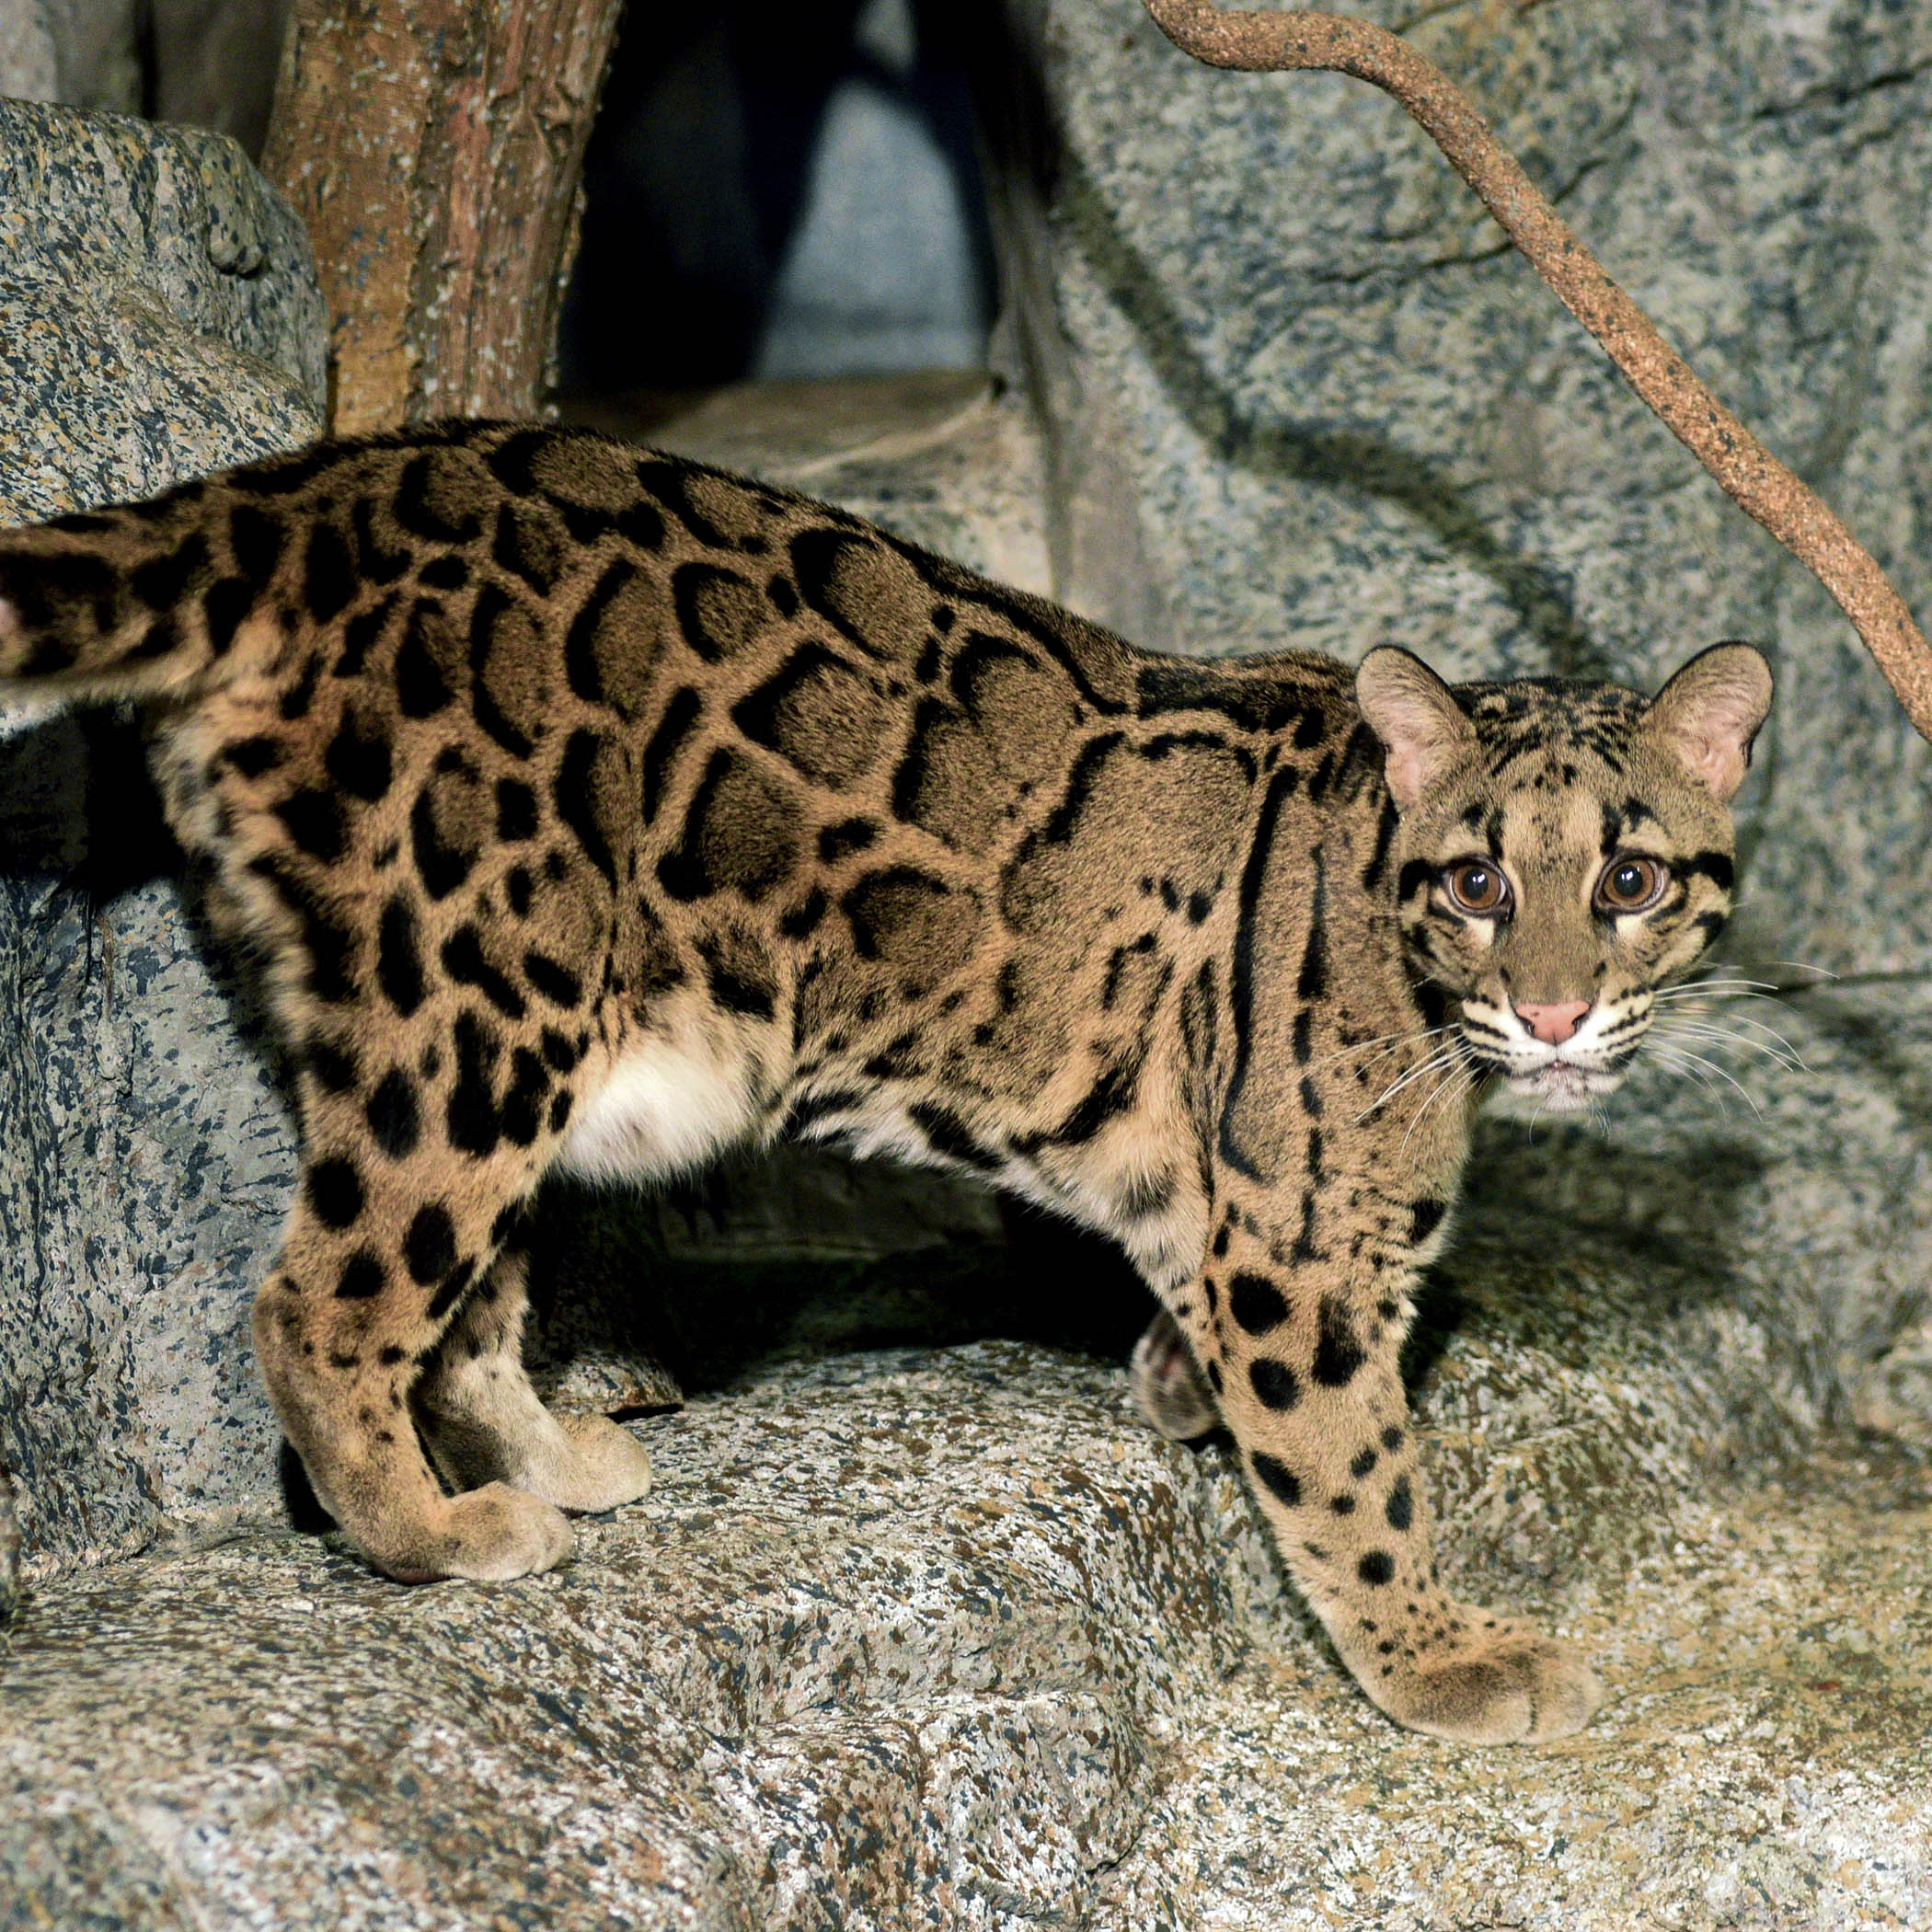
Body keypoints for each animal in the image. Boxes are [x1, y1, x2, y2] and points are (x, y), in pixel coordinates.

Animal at [0, 420, 1770, 1745]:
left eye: (1628, 880)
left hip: (472, 1014)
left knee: (467, 1290)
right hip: (470, 991)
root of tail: (291, 498)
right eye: (1477, 883)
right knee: (323, 1300)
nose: (1555, 1014)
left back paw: (552, 1457)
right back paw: (430, 1531)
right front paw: (1440, 1658)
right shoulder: (1293, 1246)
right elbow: (1356, 1463)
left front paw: (1180, 1386)